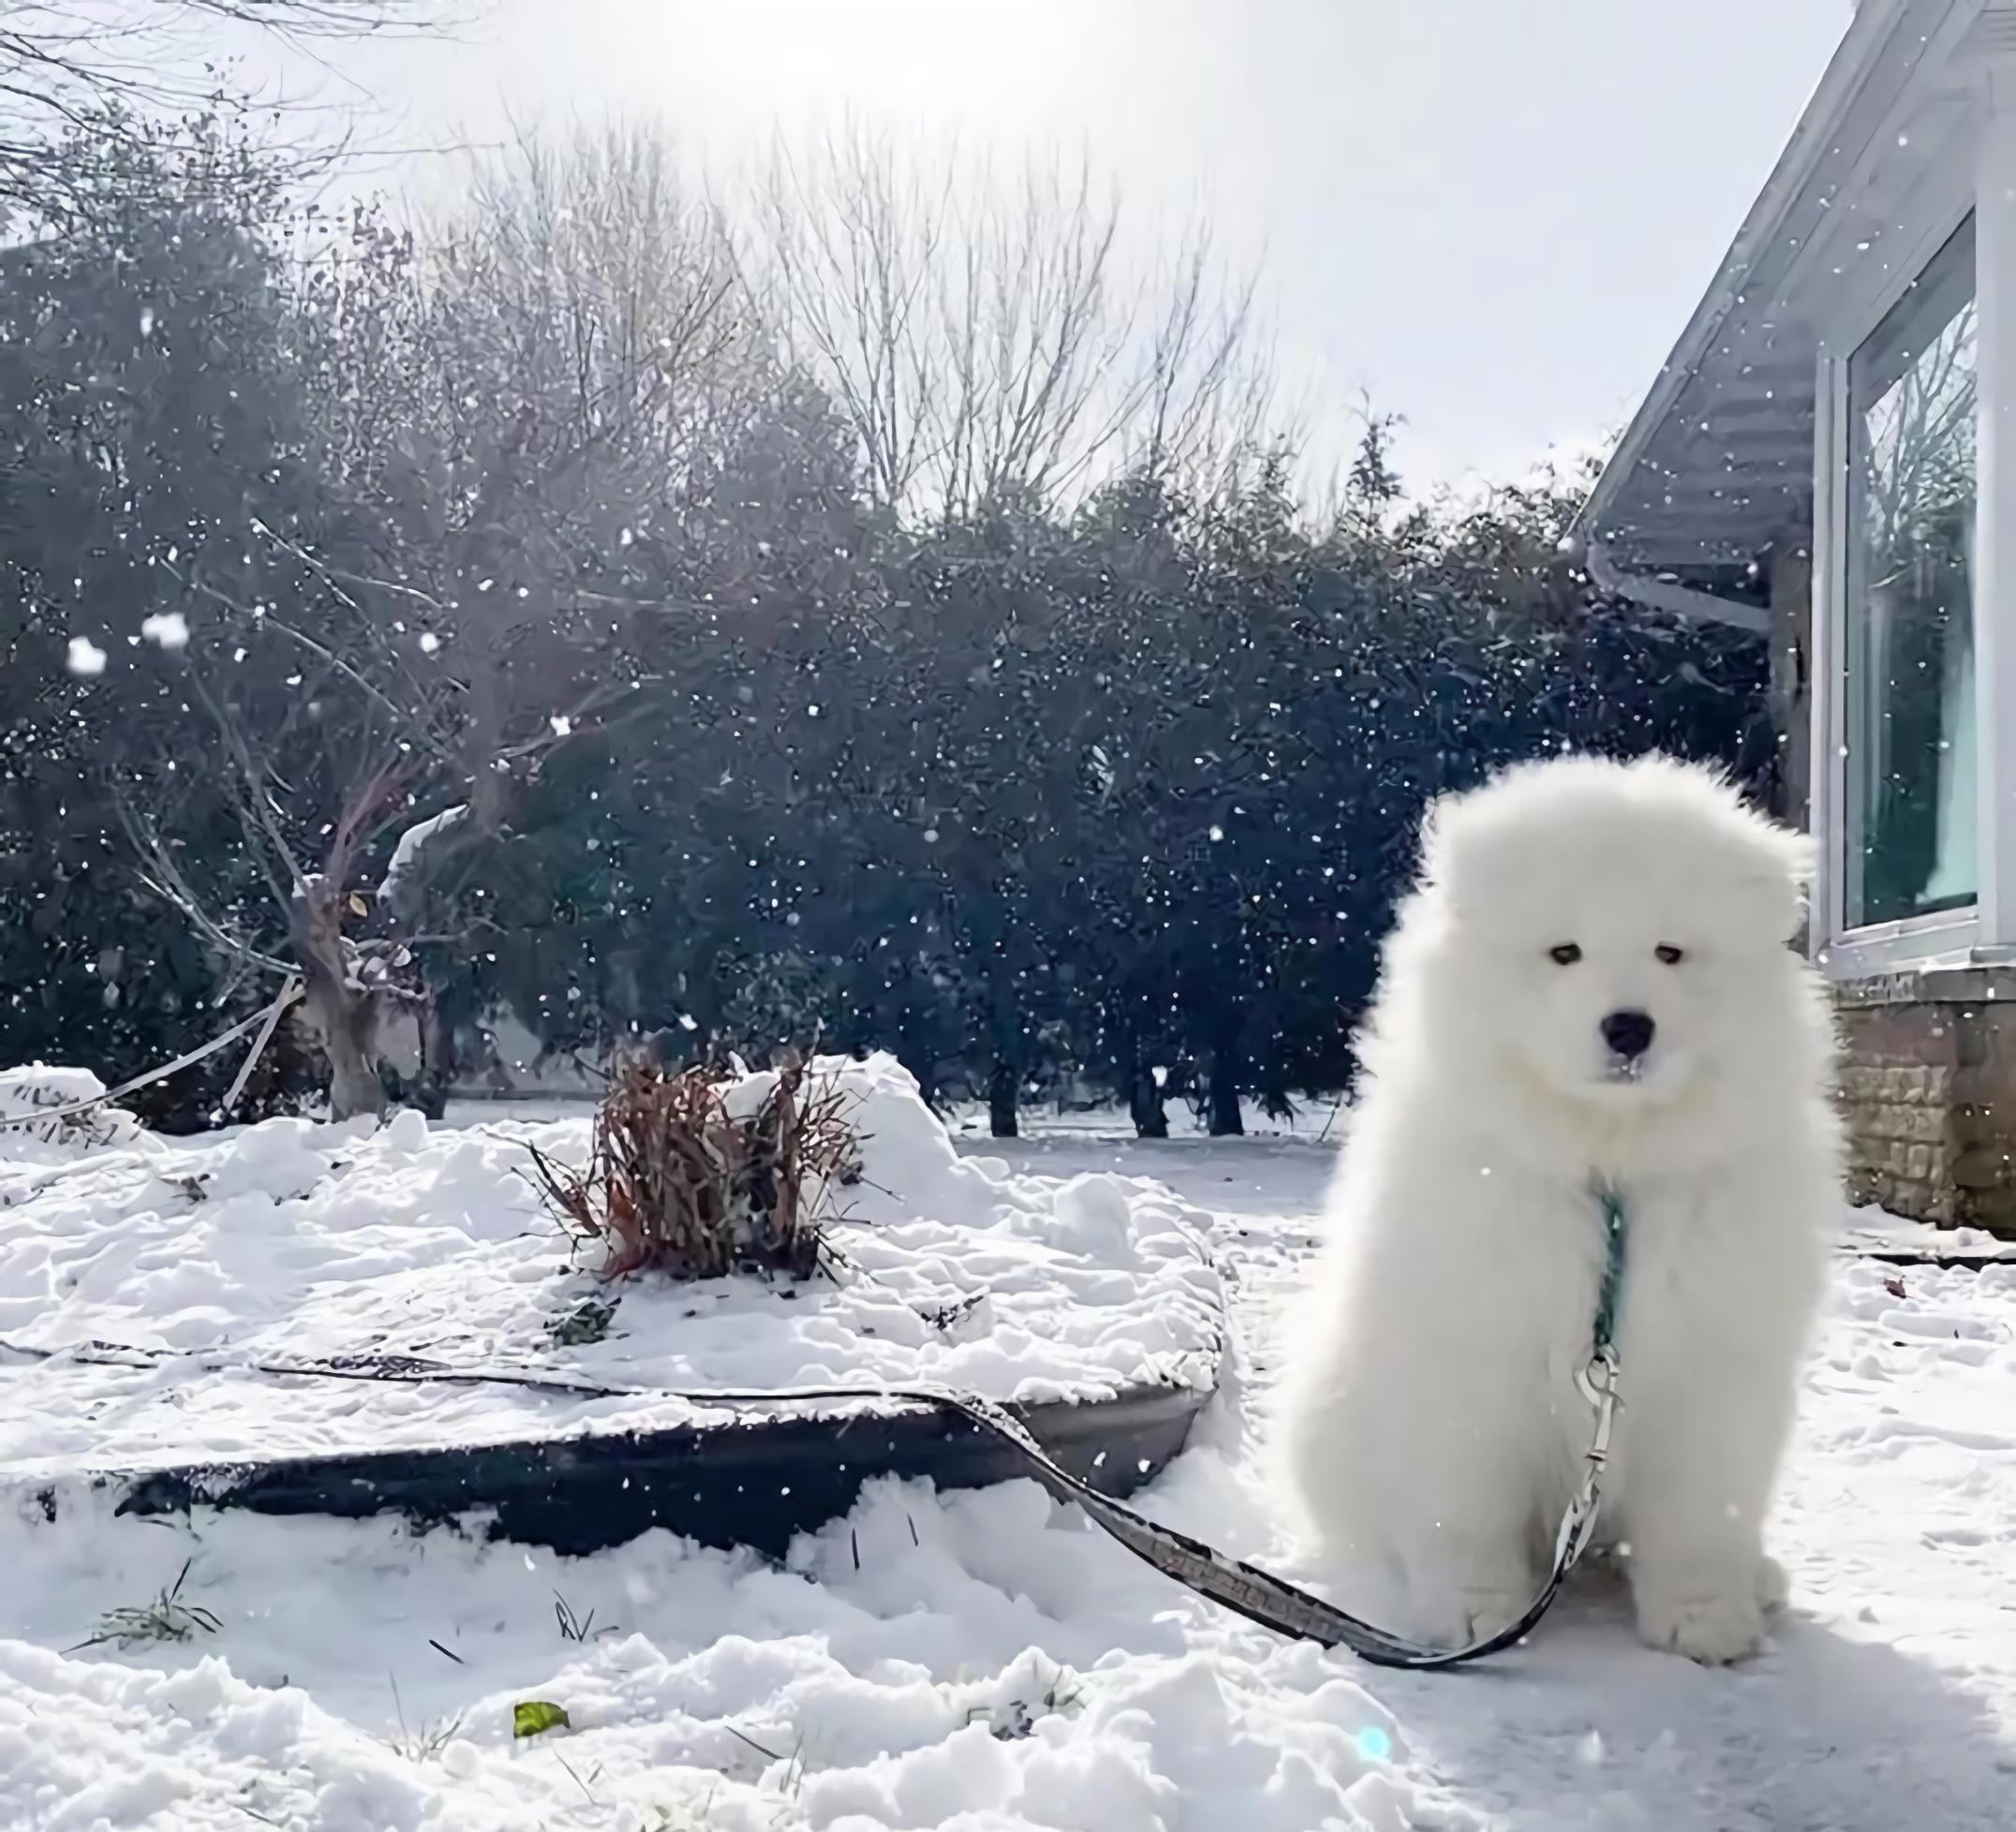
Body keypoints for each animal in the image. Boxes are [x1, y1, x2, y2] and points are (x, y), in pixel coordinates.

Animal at [1274, 749, 1846, 1668]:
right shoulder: (1467, 1357)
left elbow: (1701, 1516)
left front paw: (1707, 1620)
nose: (1629, 1027)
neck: (1605, 1173)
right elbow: (1463, 1509)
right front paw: (1474, 1616)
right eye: (1564, 952)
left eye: (1671, 951)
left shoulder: (1714, 1370)